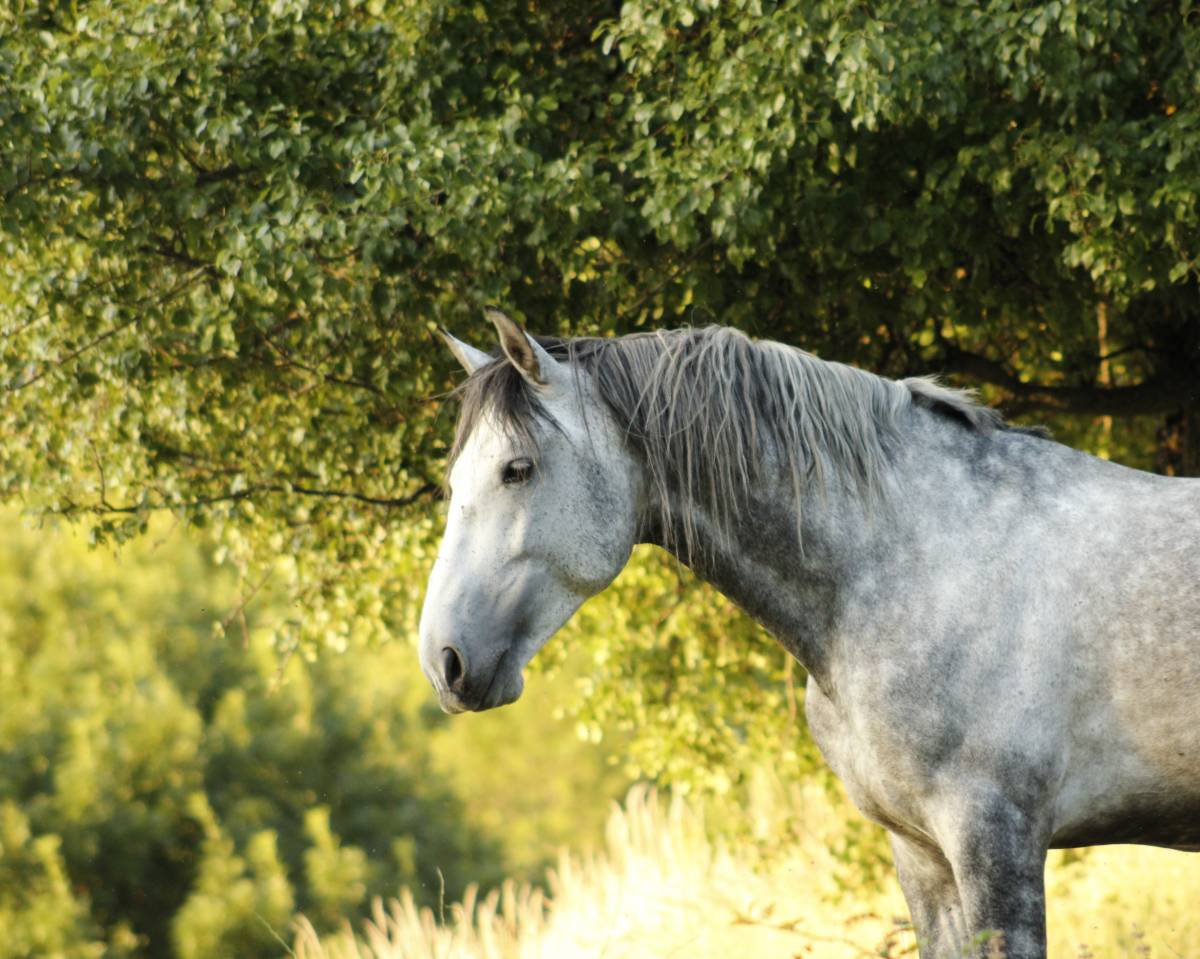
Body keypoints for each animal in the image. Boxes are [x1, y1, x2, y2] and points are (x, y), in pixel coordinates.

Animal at [418, 308, 1200, 958]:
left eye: (518, 469)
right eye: (454, 479)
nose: (443, 661)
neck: (922, 556)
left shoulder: (996, 842)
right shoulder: (922, 855)